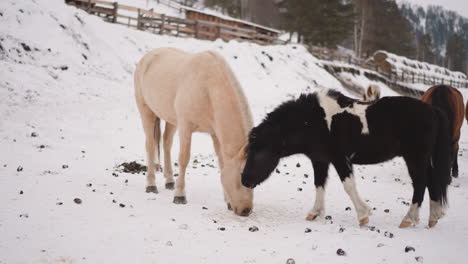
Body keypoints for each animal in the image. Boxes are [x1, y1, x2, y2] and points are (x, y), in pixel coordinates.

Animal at [133, 48, 254, 217]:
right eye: (242, 174)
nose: (245, 210)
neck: (207, 87)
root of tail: (147, 57)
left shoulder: (215, 134)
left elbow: (221, 163)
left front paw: (228, 202)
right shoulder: (186, 127)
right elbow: (184, 159)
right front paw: (179, 196)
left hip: (171, 119)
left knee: (166, 143)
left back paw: (169, 181)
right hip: (146, 112)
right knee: (150, 145)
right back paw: (151, 185)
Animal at [239, 89, 452, 228]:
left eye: (258, 152)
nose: (244, 181)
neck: (315, 121)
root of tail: (433, 111)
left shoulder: (340, 159)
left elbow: (348, 186)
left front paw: (363, 215)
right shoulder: (320, 160)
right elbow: (319, 185)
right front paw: (315, 213)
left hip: (414, 157)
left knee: (420, 184)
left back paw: (409, 219)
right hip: (423, 159)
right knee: (431, 182)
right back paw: (433, 217)